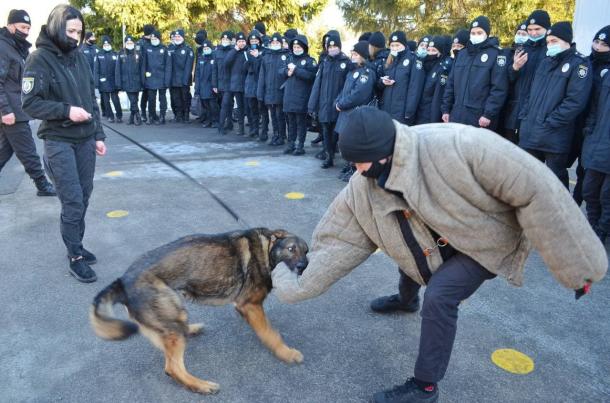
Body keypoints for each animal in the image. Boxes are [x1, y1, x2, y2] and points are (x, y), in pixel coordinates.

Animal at [89, 229, 308, 396]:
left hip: (170, 316)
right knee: (173, 368)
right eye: (291, 249)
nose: (303, 267)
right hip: (172, 313)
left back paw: (190, 329)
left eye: (306, 252)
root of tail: (122, 281)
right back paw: (201, 385)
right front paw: (286, 353)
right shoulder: (250, 305)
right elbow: (270, 333)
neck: (266, 247)